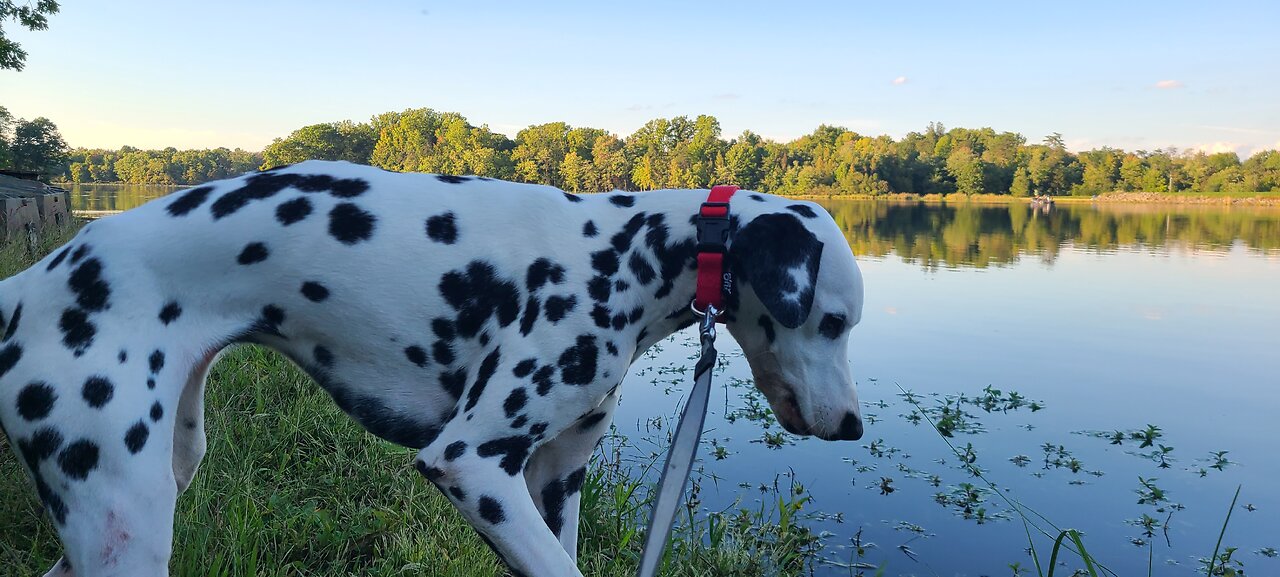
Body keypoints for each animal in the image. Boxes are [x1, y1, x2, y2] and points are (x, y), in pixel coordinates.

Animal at [2, 160, 860, 575]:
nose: (853, 427)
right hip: (125, 521)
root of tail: (34, 280)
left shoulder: (554, 478)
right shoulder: (471, 462)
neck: (623, 255)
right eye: (835, 321)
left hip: (157, 475)